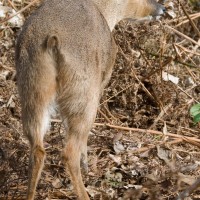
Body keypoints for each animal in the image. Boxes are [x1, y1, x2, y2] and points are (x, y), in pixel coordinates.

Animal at [15, 0, 166, 200]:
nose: (162, 8)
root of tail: (51, 40)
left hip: (33, 95)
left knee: (38, 150)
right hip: (85, 99)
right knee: (69, 152)